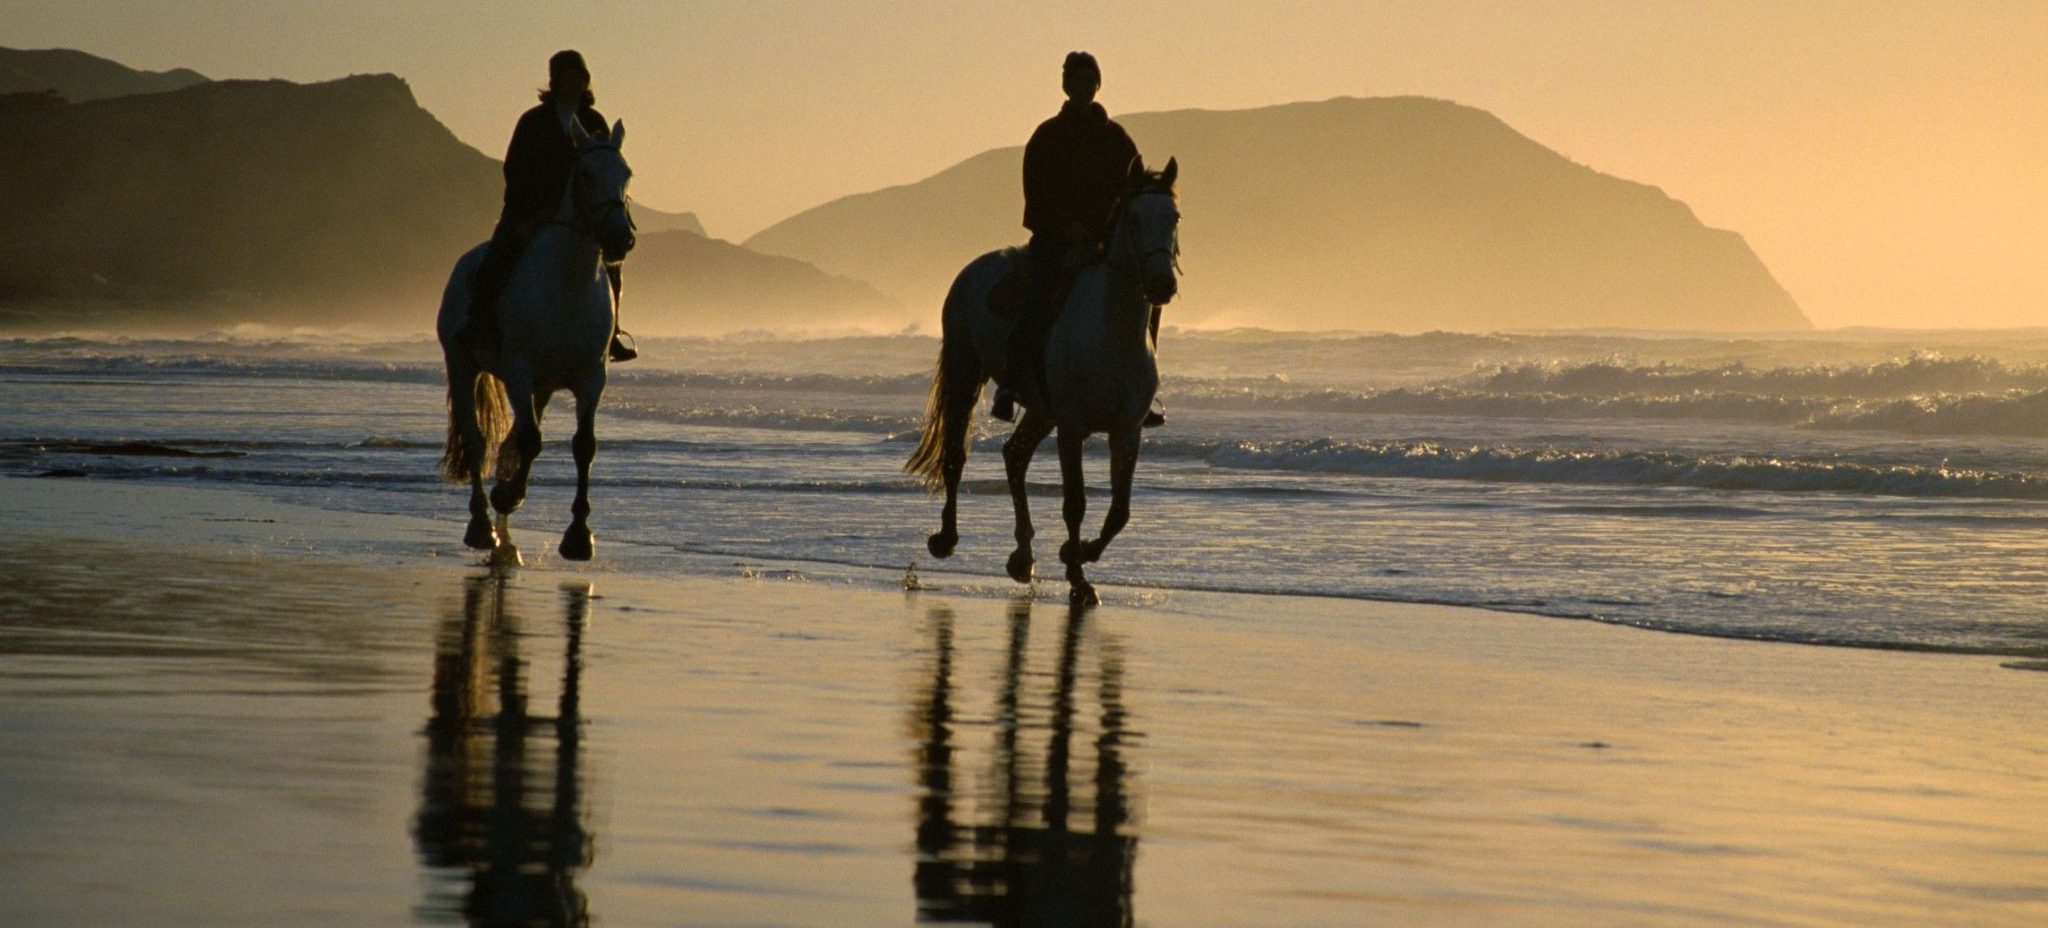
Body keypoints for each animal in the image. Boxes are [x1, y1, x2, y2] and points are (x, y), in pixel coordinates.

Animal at [442, 118, 634, 561]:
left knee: (511, 442)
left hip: (543, 387)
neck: (567, 286)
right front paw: (507, 497)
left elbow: (583, 446)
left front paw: (578, 534)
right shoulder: (519, 371)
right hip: (462, 364)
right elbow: (529, 441)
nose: (622, 238)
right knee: (477, 441)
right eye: (585, 173)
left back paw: (503, 526)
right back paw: (482, 526)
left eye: (627, 174)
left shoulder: (591, 378)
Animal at [905, 155, 1179, 602]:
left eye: (1174, 217)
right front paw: (1079, 577)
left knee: (1015, 455)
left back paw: (1023, 557)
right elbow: (1075, 503)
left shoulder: (1127, 431)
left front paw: (1079, 553)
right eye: (1134, 218)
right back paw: (946, 539)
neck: (1111, 332)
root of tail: (974, 270)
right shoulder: (1071, 427)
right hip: (967, 372)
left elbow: (1119, 511)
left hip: (1040, 408)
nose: (1161, 284)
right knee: (955, 456)